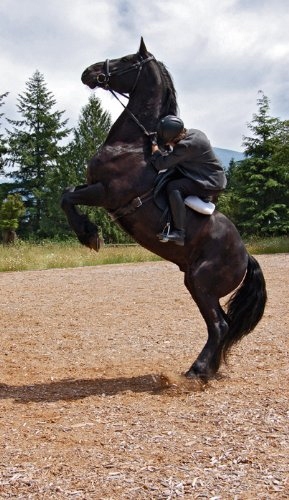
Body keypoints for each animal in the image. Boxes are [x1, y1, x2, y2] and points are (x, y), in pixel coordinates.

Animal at [62, 39, 266, 380]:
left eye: (127, 59)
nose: (88, 71)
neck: (132, 144)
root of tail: (246, 255)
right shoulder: (93, 187)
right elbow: (68, 193)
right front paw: (89, 233)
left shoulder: (105, 193)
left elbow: (66, 198)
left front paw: (89, 236)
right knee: (222, 326)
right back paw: (206, 371)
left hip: (199, 282)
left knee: (219, 326)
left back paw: (196, 372)